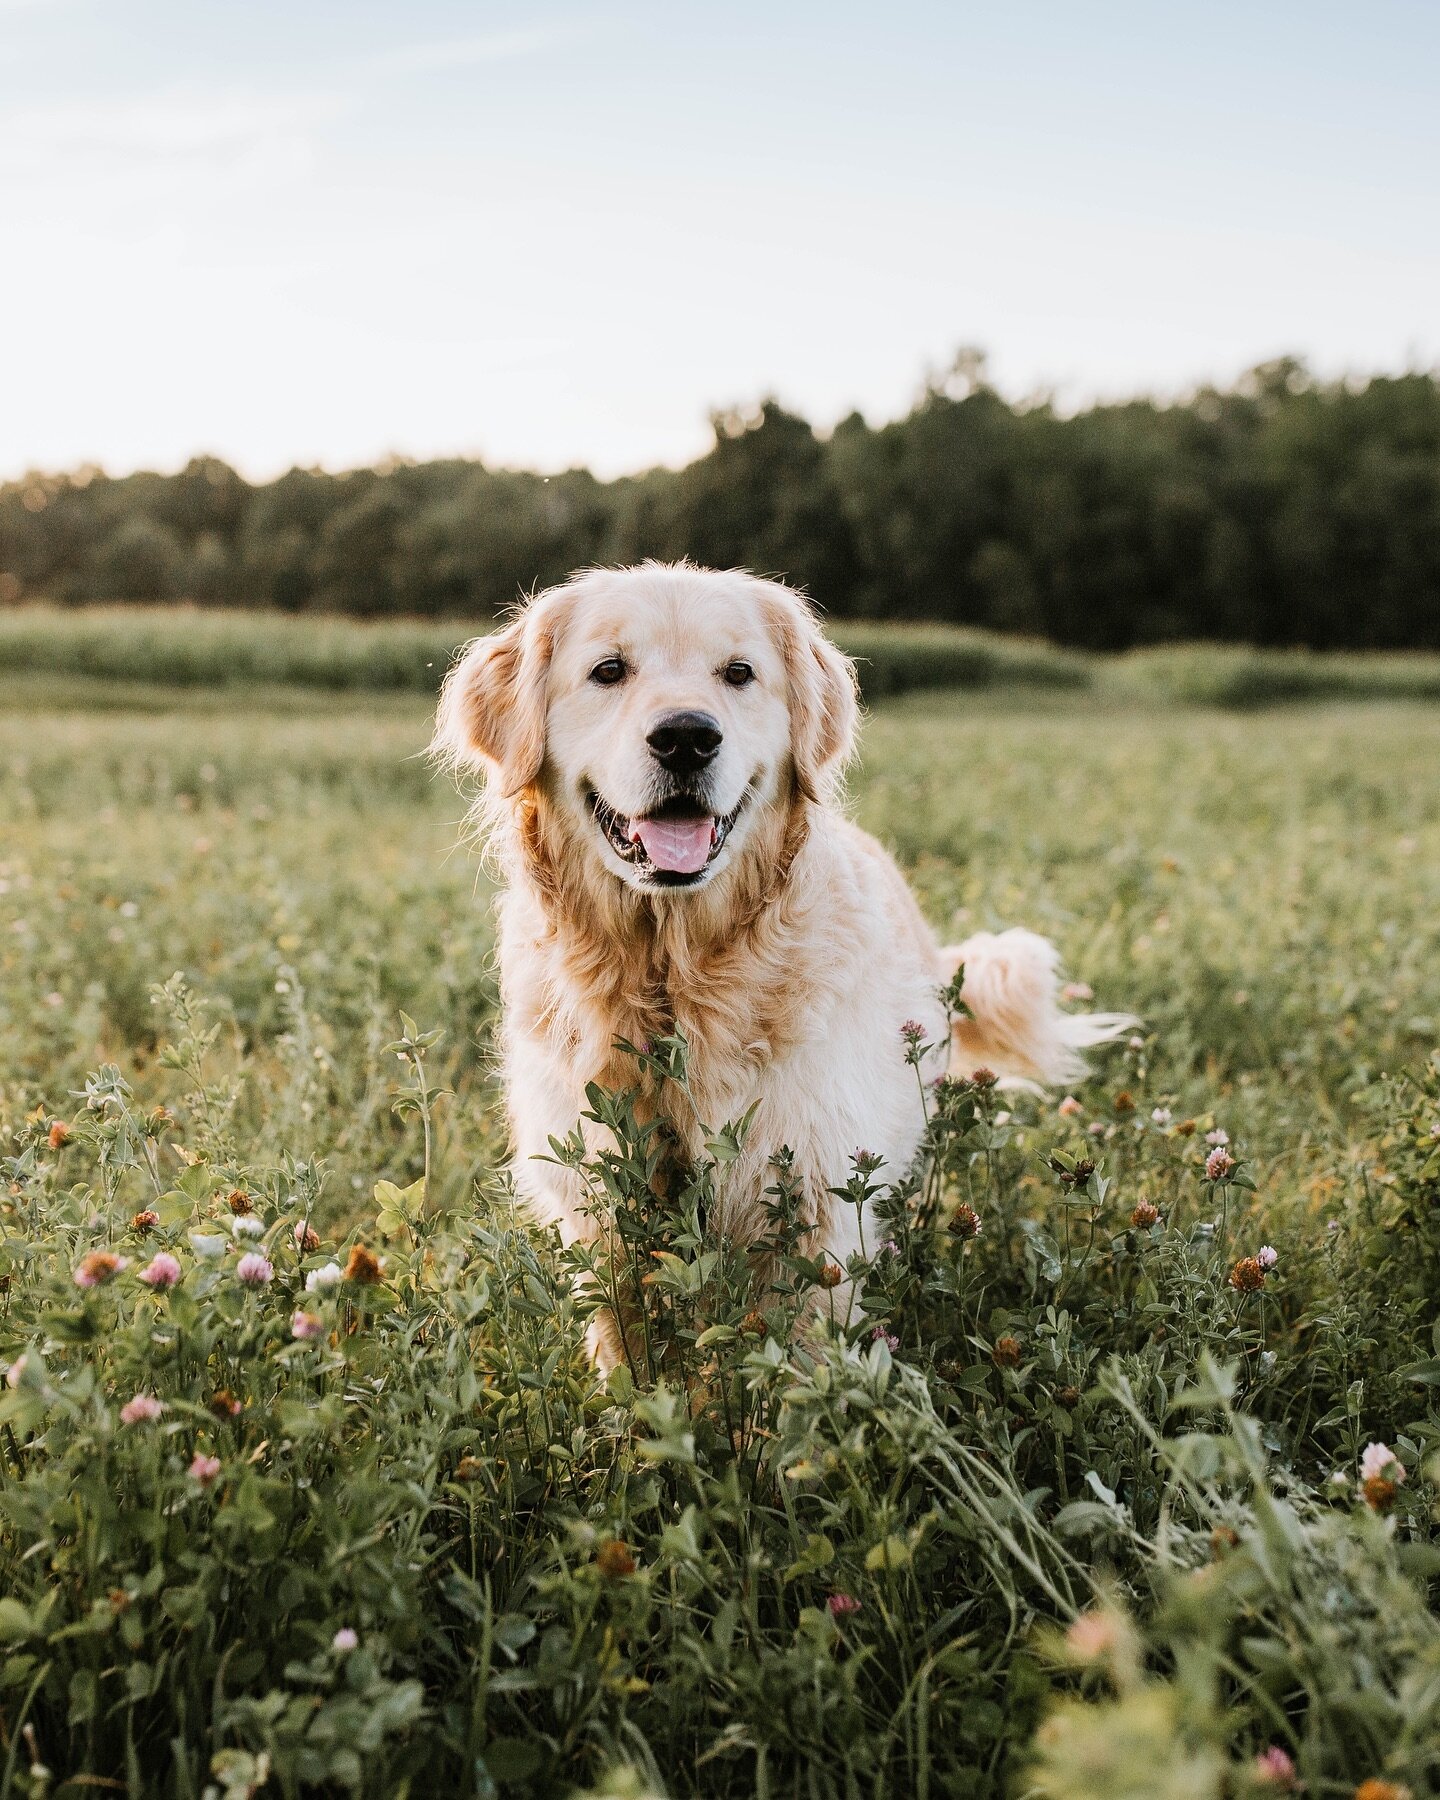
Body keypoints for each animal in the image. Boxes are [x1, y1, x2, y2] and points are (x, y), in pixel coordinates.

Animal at [433, 561, 1130, 1360]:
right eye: (608, 670)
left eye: (739, 673)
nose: (686, 737)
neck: (678, 979)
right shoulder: (597, 1199)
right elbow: (626, 1345)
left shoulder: (819, 1199)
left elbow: (800, 1353)